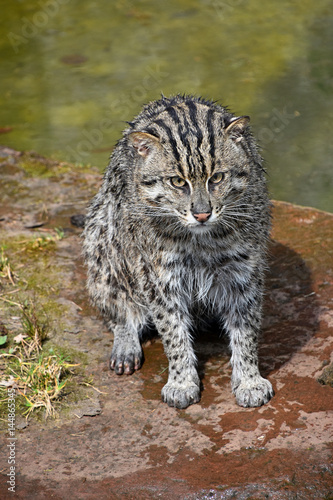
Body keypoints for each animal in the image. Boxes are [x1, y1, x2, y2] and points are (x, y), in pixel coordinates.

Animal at [82, 94, 272, 410]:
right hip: (101, 240)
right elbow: (173, 333)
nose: (202, 213)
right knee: (116, 305)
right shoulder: (158, 275)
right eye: (177, 182)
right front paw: (182, 381)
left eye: (217, 178)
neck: (202, 239)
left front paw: (249, 379)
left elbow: (246, 331)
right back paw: (125, 340)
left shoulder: (245, 269)